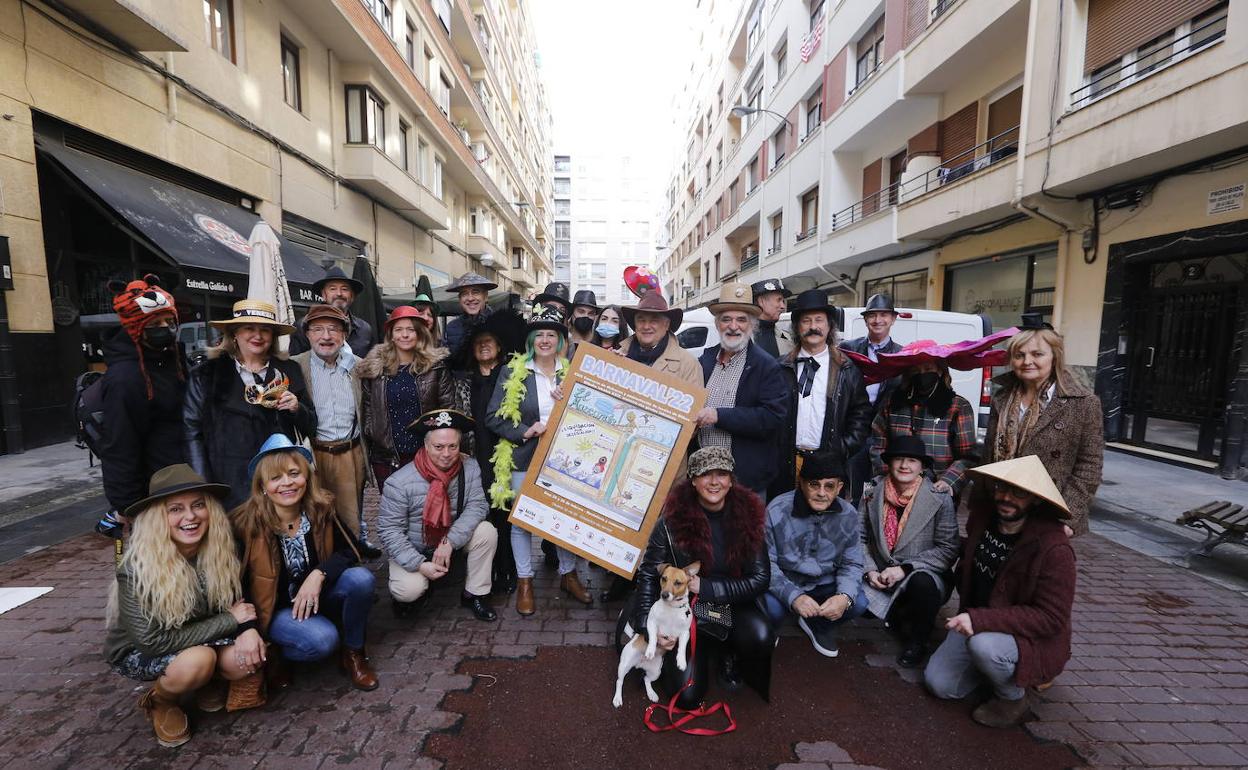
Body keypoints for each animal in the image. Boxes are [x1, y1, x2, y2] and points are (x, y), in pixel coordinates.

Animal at [614, 561, 703, 703]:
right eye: (664, 578)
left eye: (678, 583)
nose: (664, 595)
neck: (672, 608)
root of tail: (640, 664)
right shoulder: (651, 623)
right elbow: (653, 638)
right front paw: (650, 651)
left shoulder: (685, 633)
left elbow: (682, 647)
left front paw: (681, 661)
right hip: (624, 665)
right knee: (619, 681)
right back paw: (617, 698)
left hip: (656, 672)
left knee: (646, 679)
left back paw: (651, 694)